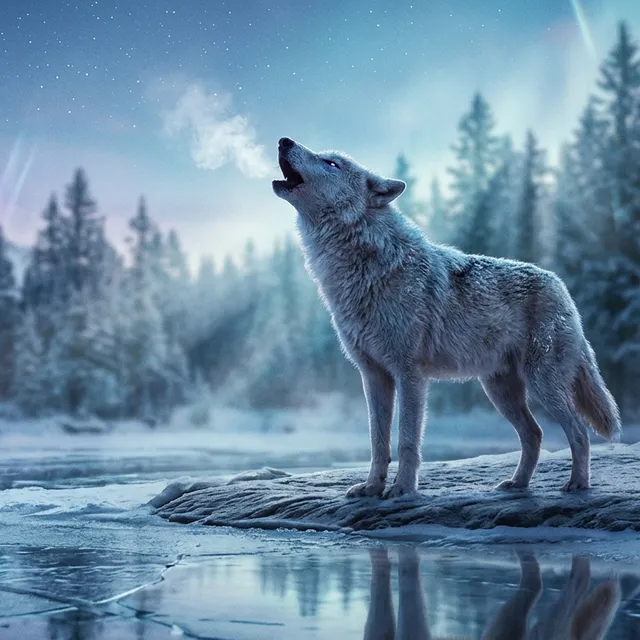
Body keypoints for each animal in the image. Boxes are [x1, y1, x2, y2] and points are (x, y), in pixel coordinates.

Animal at [272, 137, 621, 499]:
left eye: (331, 163)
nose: (284, 140)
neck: (364, 266)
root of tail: (562, 287)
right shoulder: (373, 376)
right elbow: (378, 442)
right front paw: (371, 487)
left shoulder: (410, 374)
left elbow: (407, 440)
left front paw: (402, 488)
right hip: (499, 392)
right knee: (535, 434)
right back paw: (517, 484)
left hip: (542, 385)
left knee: (578, 431)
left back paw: (578, 484)